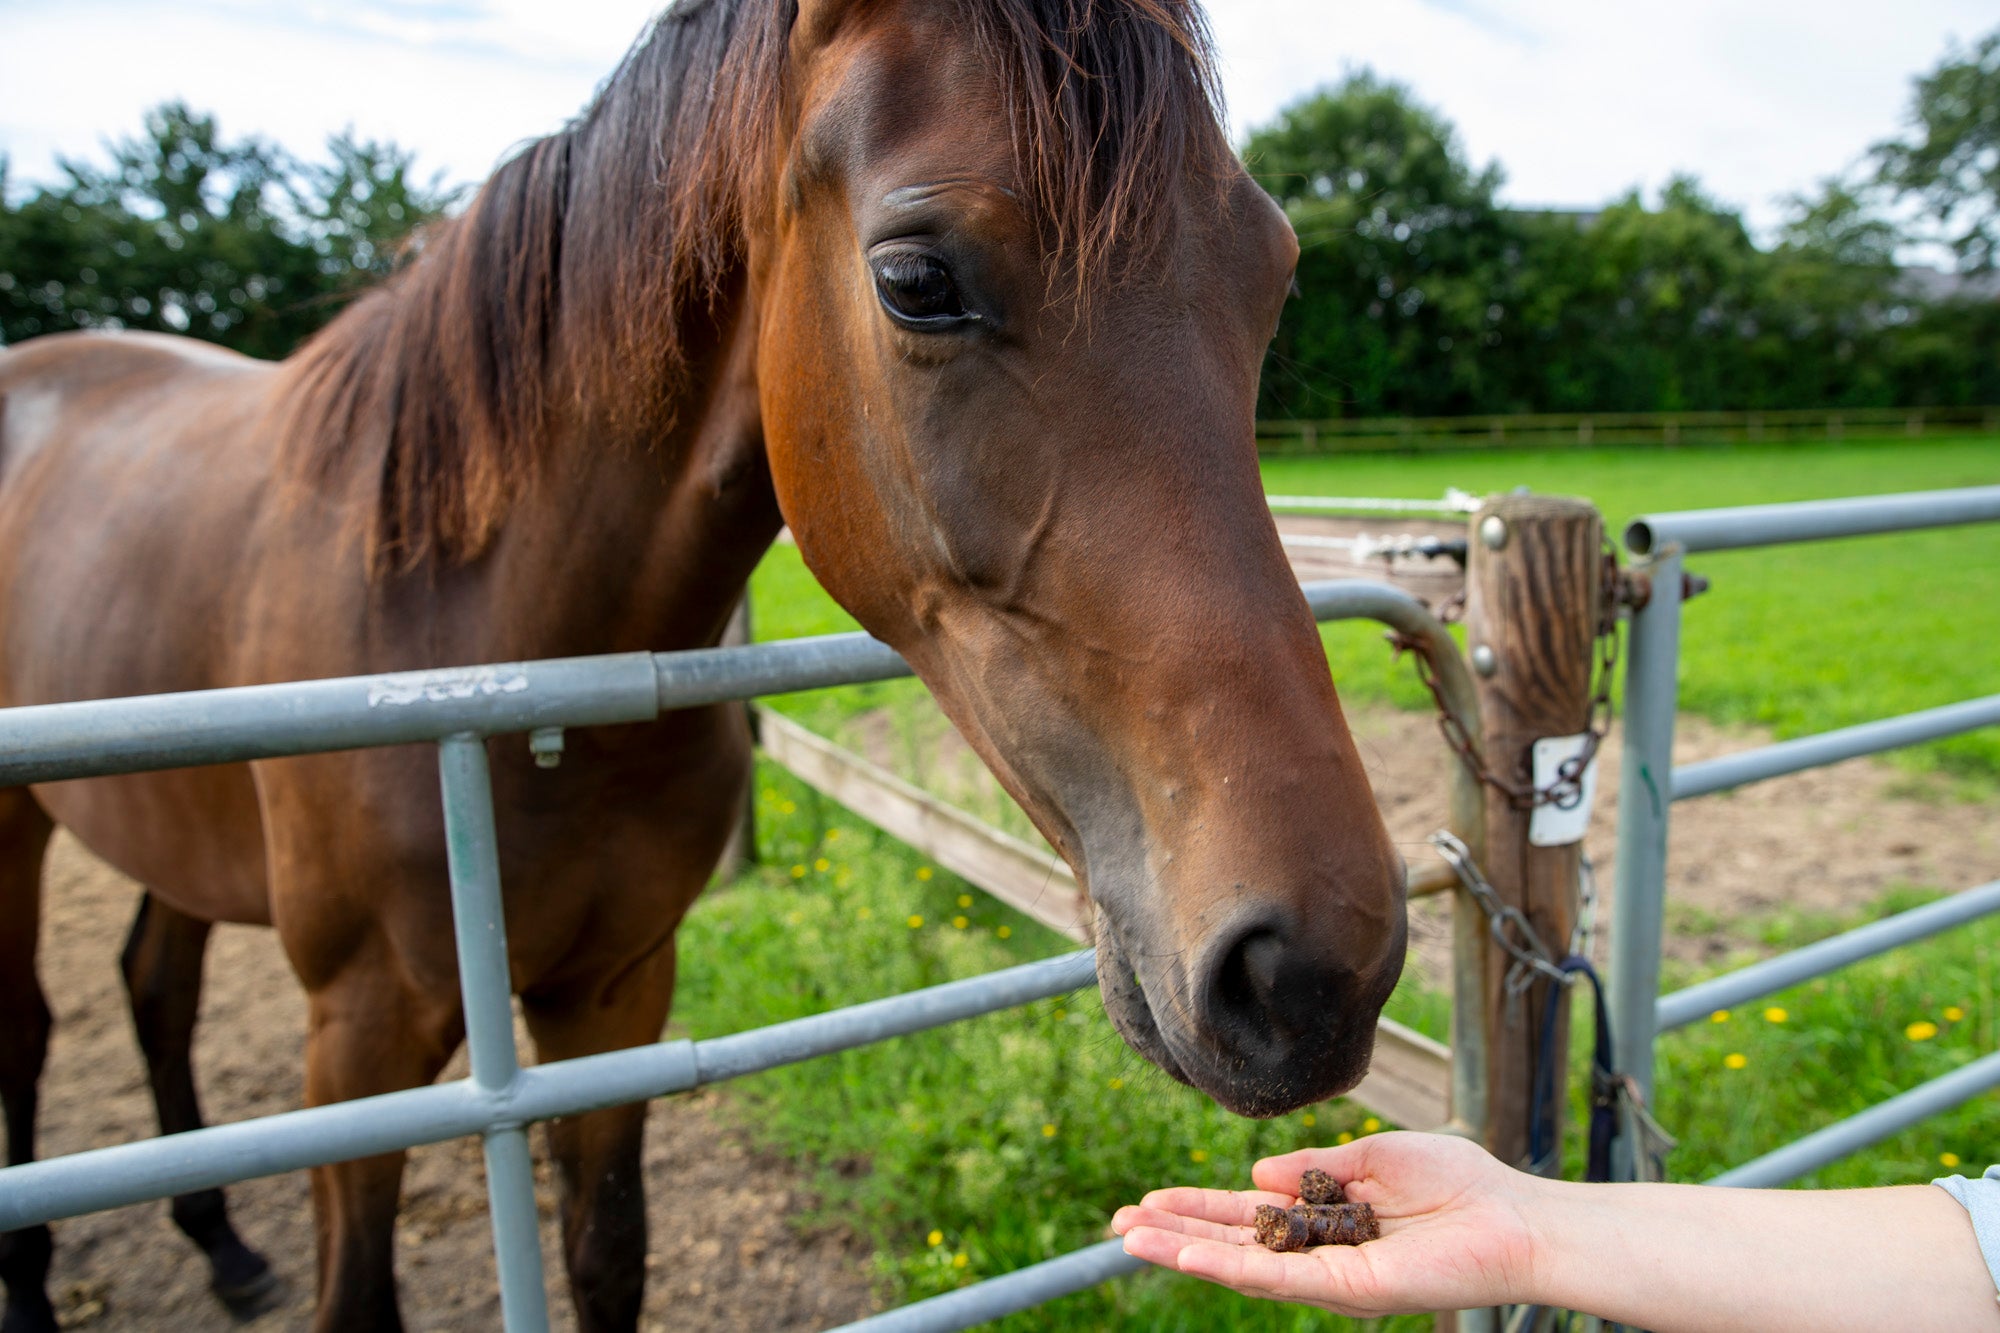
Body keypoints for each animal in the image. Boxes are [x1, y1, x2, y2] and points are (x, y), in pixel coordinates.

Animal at [0, 0, 1408, 1320]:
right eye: (915, 281)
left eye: (1272, 275)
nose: (1314, 968)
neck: (494, 649)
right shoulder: (358, 1037)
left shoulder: (615, 993)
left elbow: (607, 1253)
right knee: (38, 1024)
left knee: (151, 987)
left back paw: (225, 1248)